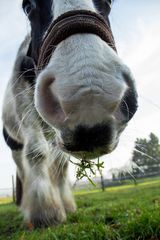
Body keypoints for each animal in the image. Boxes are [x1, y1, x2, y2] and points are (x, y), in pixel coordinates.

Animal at [2, 0, 138, 228]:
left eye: (109, 3)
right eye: (28, 6)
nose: (89, 97)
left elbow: (61, 166)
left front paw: (65, 205)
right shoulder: (25, 111)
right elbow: (36, 152)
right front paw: (45, 212)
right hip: (15, 144)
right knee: (23, 167)